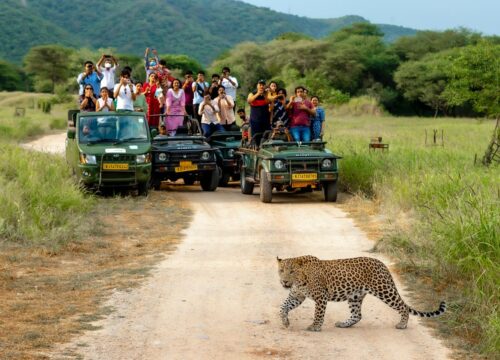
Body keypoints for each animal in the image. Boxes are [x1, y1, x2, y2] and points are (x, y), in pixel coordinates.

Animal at [278, 256, 446, 332]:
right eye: (281, 270)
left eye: (291, 271)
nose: (284, 282)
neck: (300, 280)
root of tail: (382, 264)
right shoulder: (296, 296)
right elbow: (283, 307)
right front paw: (285, 322)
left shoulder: (321, 297)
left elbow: (318, 313)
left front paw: (315, 326)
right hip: (355, 296)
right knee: (357, 315)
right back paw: (344, 324)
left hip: (384, 290)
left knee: (403, 307)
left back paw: (402, 324)